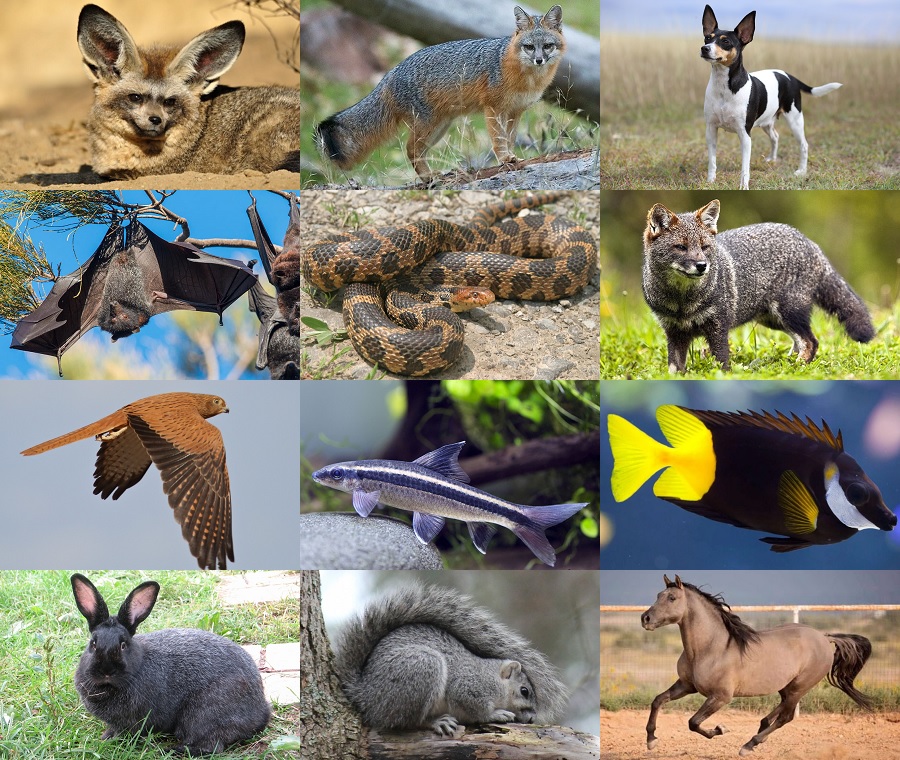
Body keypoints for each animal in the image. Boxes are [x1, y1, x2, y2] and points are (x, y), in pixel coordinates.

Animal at [315, 5, 565, 179]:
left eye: (547, 46)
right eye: (529, 47)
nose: (539, 60)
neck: (527, 79)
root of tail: (390, 73)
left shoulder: (516, 111)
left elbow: (510, 138)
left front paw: (512, 157)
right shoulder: (493, 108)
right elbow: (498, 139)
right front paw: (504, 158)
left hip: (438, 129)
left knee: (414, 151)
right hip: (428, 126)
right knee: (410, 149)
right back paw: (428, 178)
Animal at [642, 200, 875, 373]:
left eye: (704, 247)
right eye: (680, 247)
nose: (702, 266)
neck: (682, 303)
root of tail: (809, 242)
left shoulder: (718, 327)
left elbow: (722, 364)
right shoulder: (674, 332)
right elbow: (674, 369)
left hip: (789, 312)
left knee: (811, 342)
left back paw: (795, 368)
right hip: (774, 320)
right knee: (800, 342)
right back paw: (784, 365)